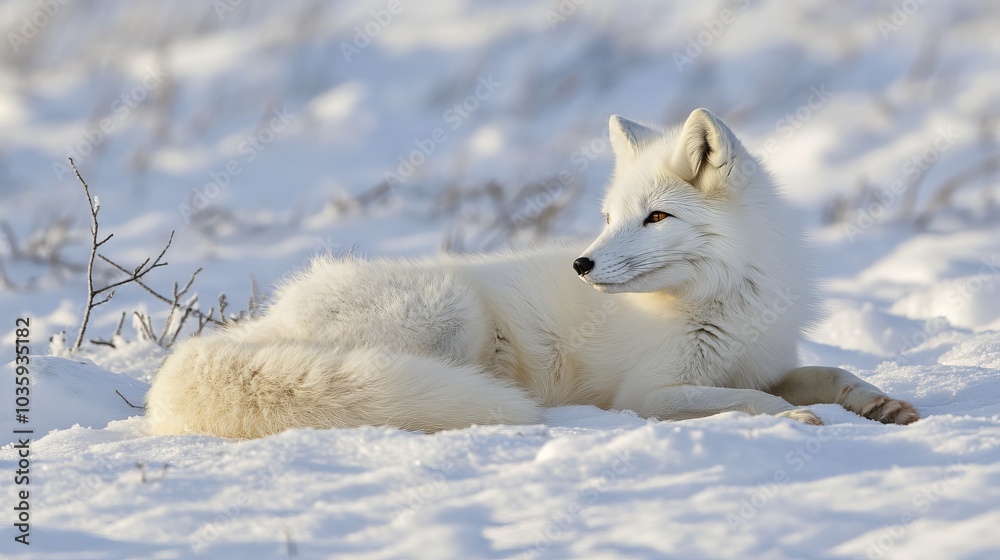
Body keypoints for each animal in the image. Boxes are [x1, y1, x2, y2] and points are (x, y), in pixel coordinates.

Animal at [146, 108, 919, 439]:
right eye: (608, 216)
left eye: (655, 217)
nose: (582, 263)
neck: (725, 300)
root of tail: (260, 325)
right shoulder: (650, 392)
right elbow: (754, 401)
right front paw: (793, 420)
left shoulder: (765, 360)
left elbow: (828, 373)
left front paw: (878, 404)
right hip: (453, 315)